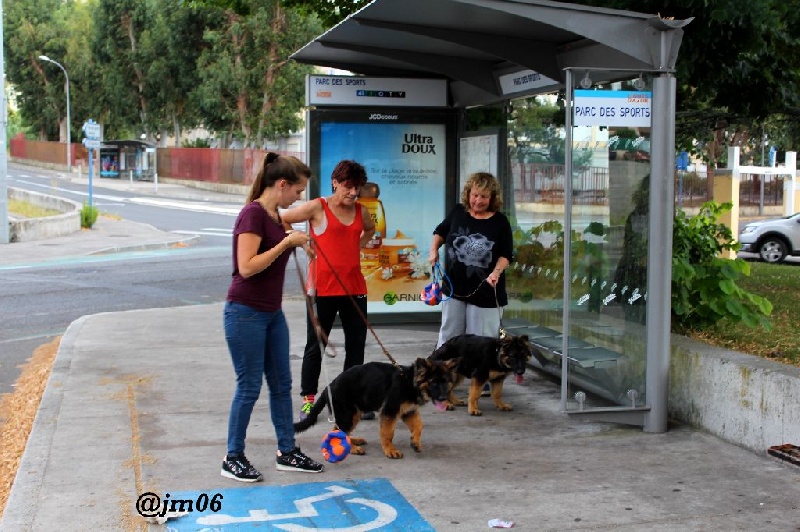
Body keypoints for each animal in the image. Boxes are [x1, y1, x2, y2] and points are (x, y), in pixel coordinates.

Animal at [294, 360, 460, 460]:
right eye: (433, 382)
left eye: (446, 382)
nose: (444, 398)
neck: (410, 381)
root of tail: (329, 386)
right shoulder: (390, 411)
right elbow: (388, 433)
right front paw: (390, 450)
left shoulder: (409, 411)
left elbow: (419, 426)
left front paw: (415, 442)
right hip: (349, 414)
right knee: (338, 430)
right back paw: (352, 448)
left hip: (354, 414)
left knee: (337, 430)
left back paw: (352, 442)